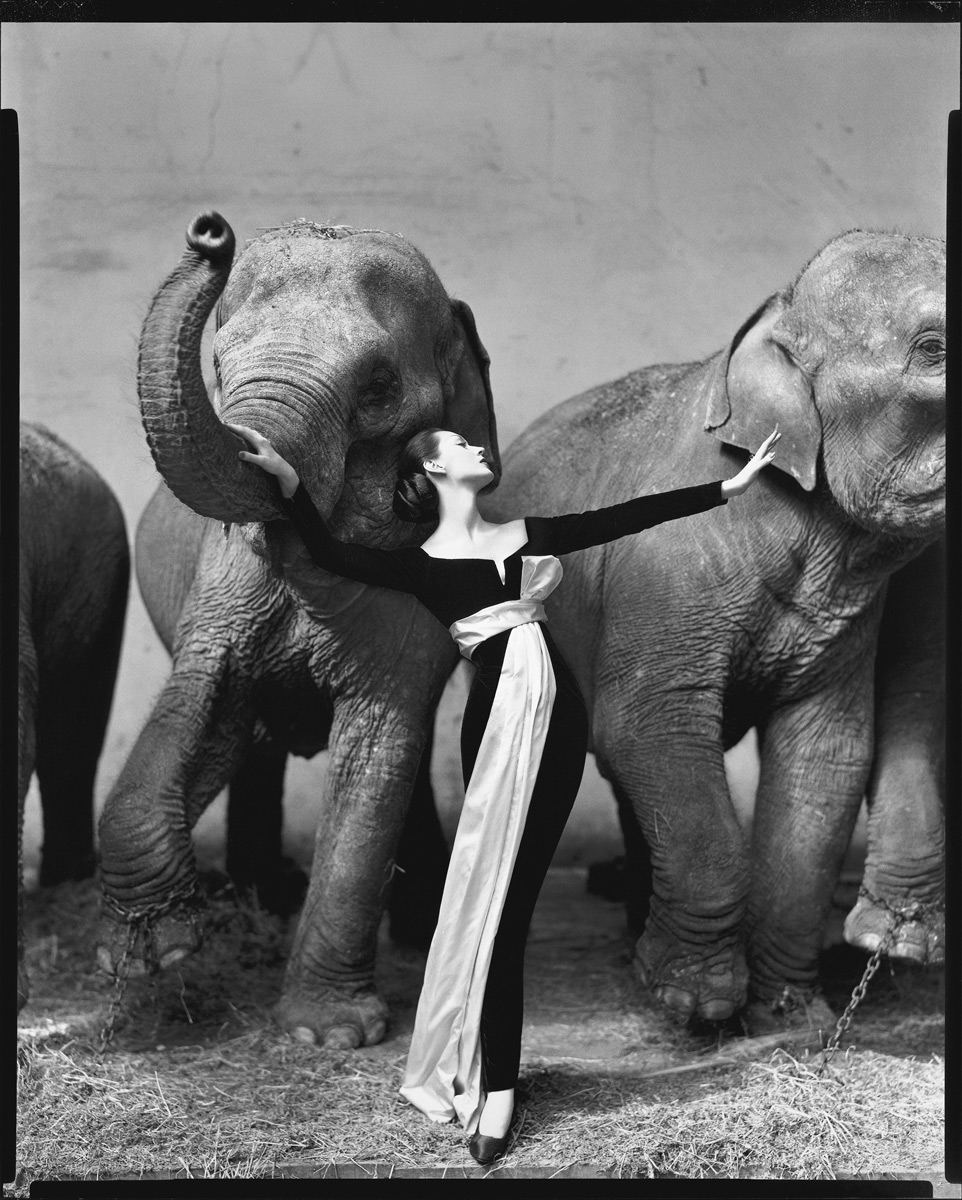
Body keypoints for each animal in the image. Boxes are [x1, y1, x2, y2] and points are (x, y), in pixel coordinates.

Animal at [95, 211, 494, 1046]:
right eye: (218, 363)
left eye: (378, 386)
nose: (210, 232)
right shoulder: (221, 585)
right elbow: (201, 699)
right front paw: (153, 956)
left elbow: (379, 745)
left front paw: (324, 1035)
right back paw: (264, 900)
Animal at [479, 229, 945, 1027]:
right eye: (936, 347)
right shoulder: (666, 570)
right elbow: (648, 724)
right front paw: (692, 1003)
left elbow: (826, 755)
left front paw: (791, 1015)